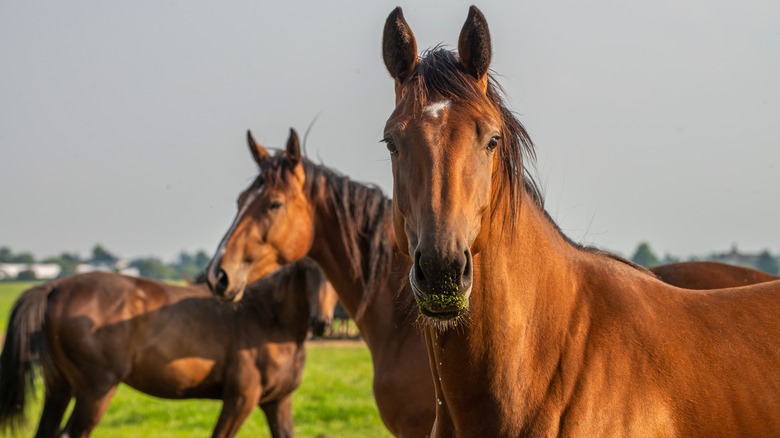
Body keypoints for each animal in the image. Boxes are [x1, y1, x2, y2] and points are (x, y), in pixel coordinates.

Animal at [0, 260, 322, 438]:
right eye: (308, 270)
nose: (322, 321)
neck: (267, 318)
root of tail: (53, 287)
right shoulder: (241, 399)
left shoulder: (277, 402)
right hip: (96, 391)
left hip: (59, 388)